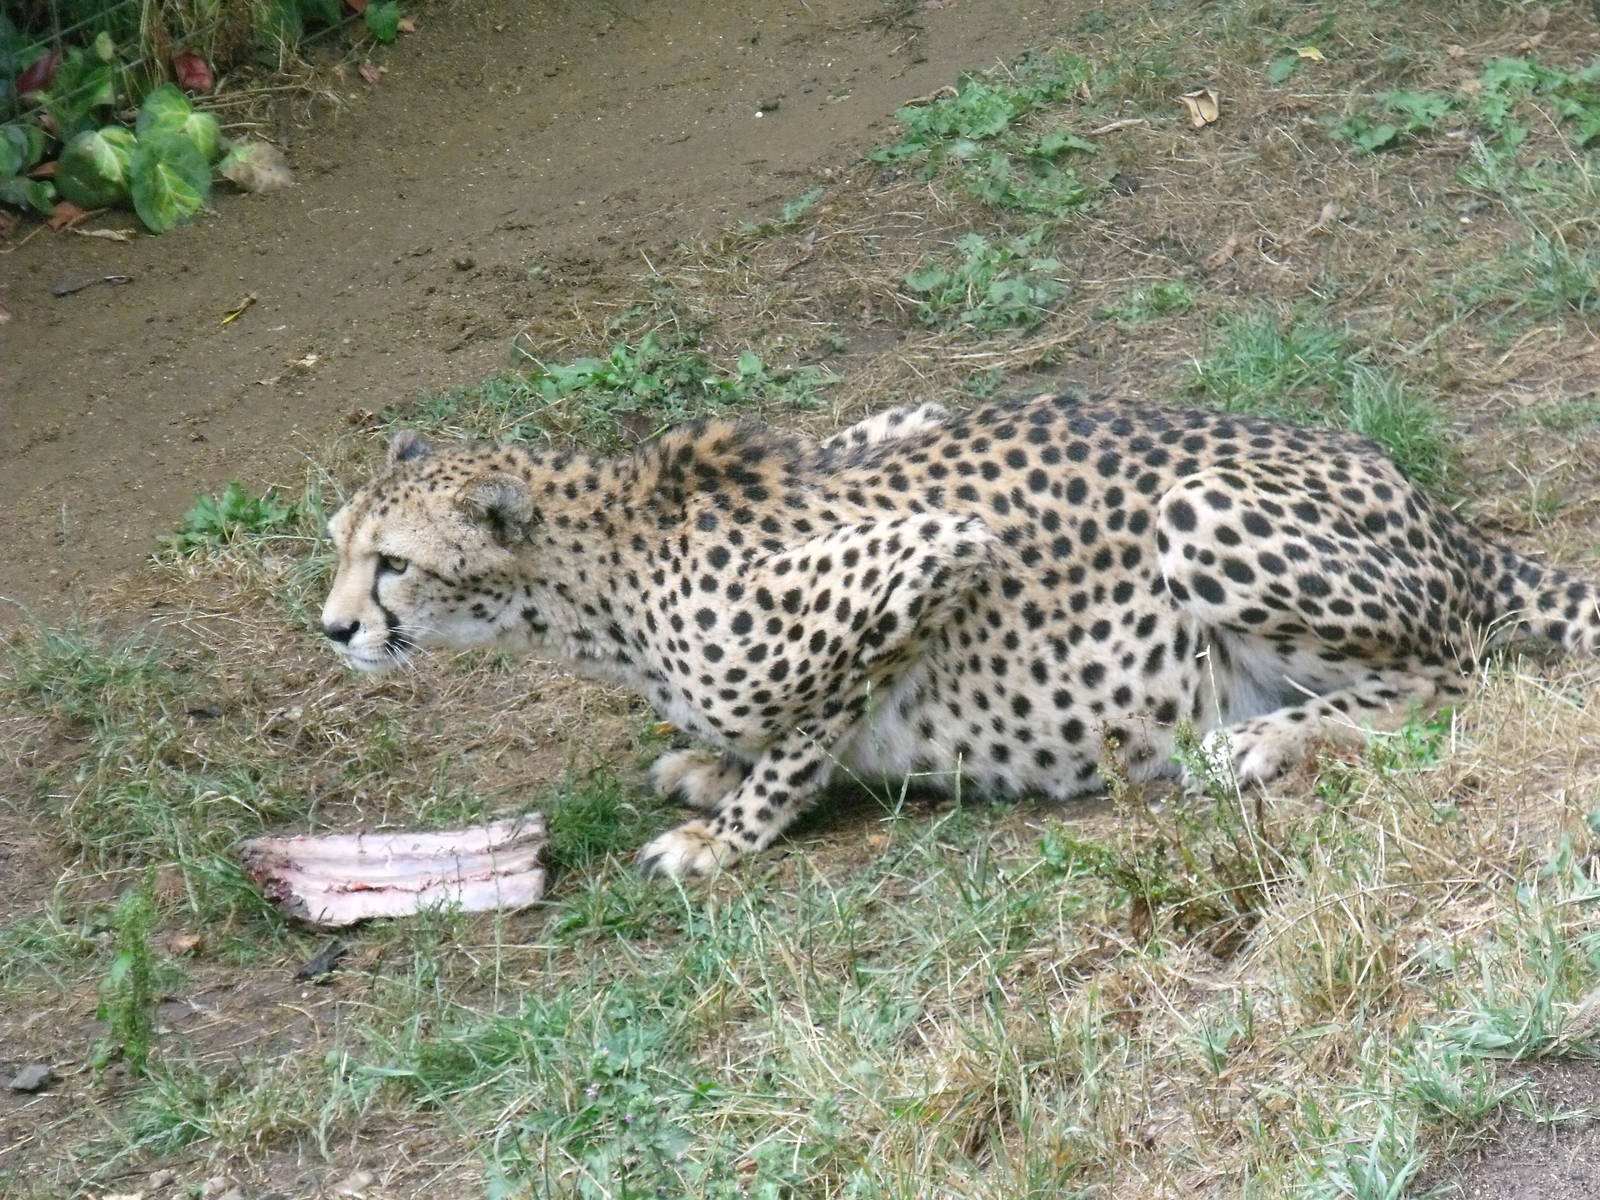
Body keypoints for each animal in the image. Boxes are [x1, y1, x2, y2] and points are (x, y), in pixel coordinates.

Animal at [320, 392, 1600, 878]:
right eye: (337, 542)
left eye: (394, 565)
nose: (335, 630)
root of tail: (1444, 517)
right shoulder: (895, 424)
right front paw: (708, 769)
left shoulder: (932, 554)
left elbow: (803, 736)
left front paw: (726, 832)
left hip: (1198, 510)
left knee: (1454, 672)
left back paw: (1267, 740)